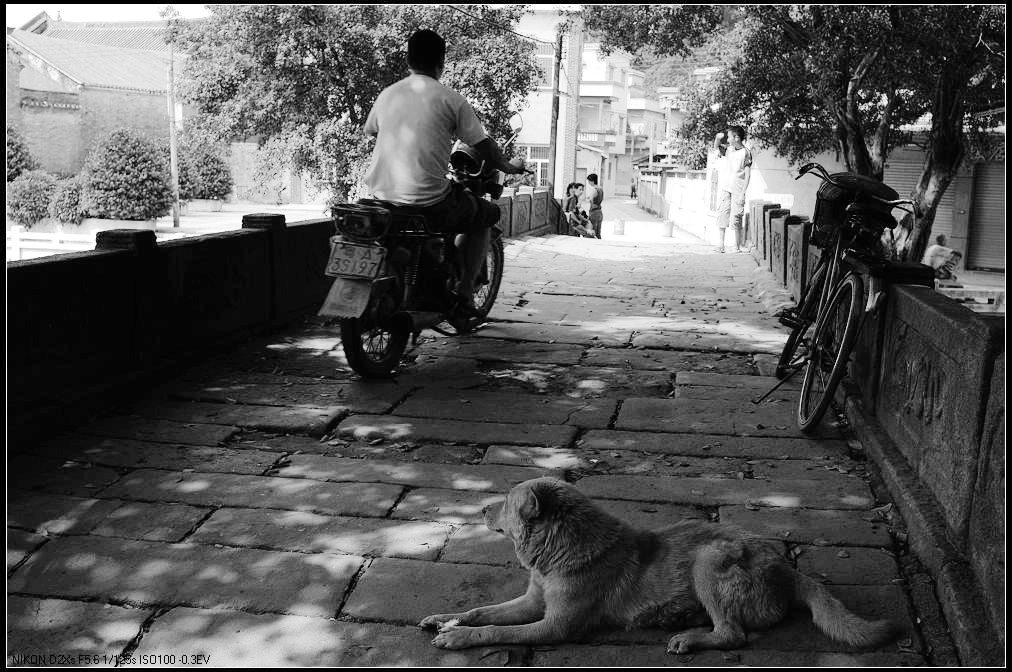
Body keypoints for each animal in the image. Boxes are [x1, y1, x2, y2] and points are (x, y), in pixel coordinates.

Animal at [420, 475, 902, 651]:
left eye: (504, 502)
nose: (481, 510)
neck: (559, 551)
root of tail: (788, 570)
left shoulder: (555, 626)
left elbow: (495, 629)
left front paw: (459, 638)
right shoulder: (532, 602)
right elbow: (481, 611)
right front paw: (447, 619)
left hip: (709, 558)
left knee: (734, 634)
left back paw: (691, 636)